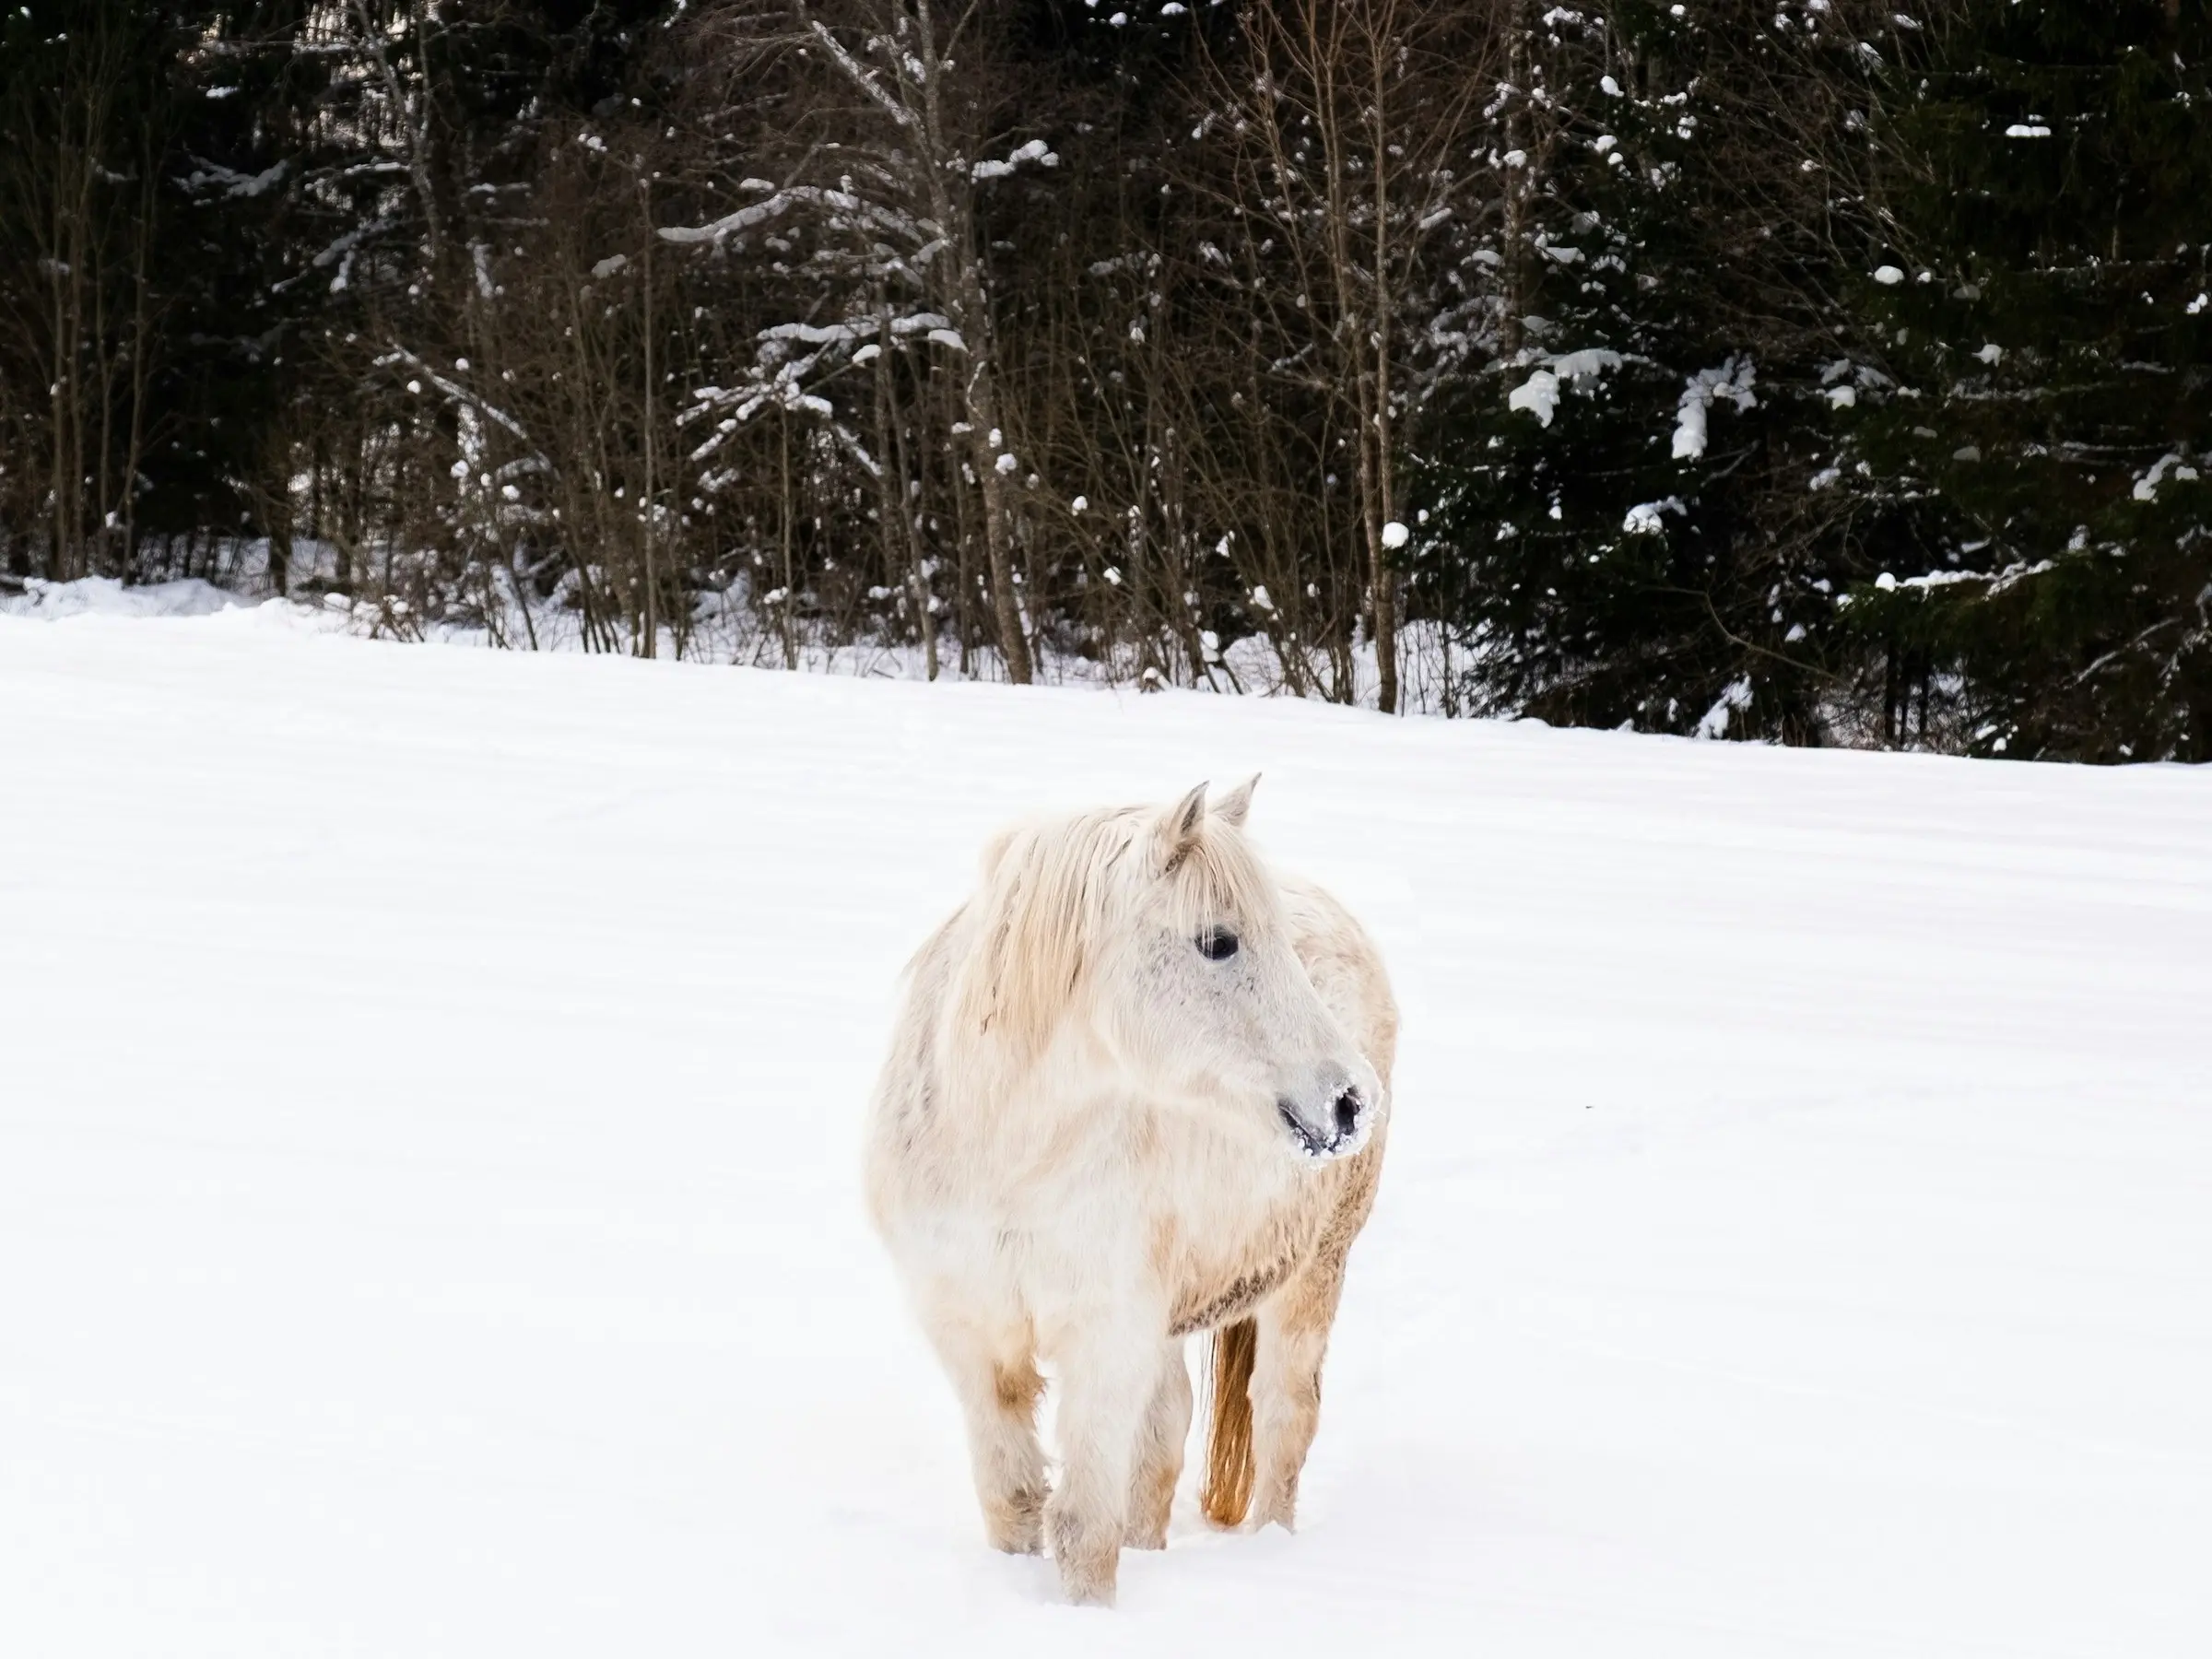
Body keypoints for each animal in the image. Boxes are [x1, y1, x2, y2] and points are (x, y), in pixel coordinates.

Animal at [858, 782, 1389, 1610]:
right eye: (1218, 941)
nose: (1348, 1102)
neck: (1004, 1154)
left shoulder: (1102, 1337)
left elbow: (1082, 1525)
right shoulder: (971, 1334)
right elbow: (1014, 1502)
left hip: (1312, 1275)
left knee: (1282, 1419)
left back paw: (1272, 1551)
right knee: (1166, 1433)